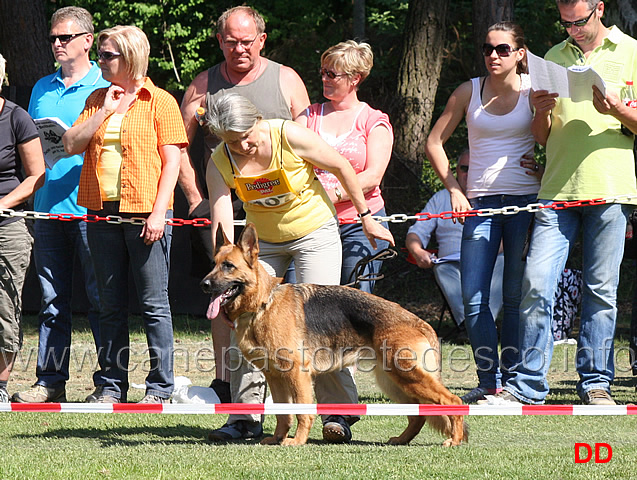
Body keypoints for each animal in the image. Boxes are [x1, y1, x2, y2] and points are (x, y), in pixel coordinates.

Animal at [200, 224, 468, 446]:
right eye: (213, 264)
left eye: (228, 266)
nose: (204, 285)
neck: (264, 303)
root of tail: (421, 323)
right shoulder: (275, 377)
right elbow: (283, 414)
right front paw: (277, 438)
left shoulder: (297, 375)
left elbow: (302, 412)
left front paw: (296, 441)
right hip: (395, 382)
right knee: (418, 415)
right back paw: (402, 440)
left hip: (409, 377)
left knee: (453, 401)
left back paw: (454, 440)